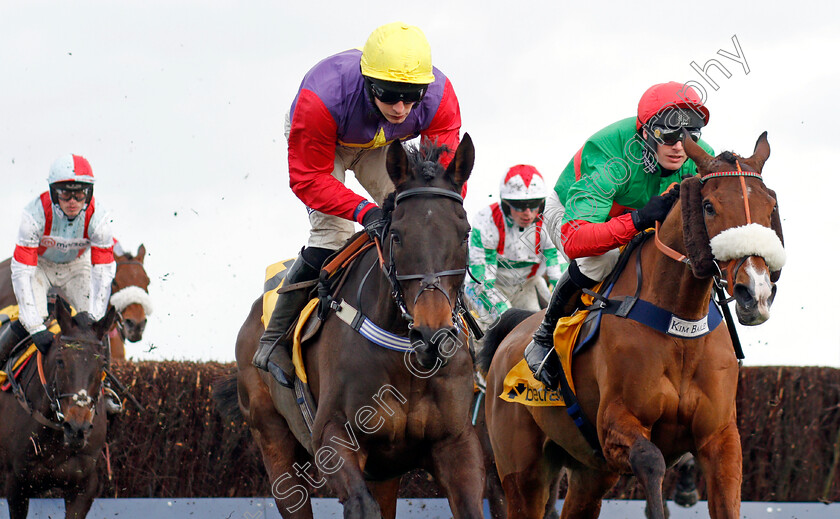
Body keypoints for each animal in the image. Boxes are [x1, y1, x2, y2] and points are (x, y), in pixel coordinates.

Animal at [213, 138, 482, 519]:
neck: (405, 361)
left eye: (464, 234)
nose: (432, 337)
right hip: (272, 438)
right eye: (396, 235)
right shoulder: (333, 436)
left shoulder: (455, 440)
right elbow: (360, 504)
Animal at [480, 134, 788, 519]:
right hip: (523, 471)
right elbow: (650, 460)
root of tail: (513, 331)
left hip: (589, 473)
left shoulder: (720, 437)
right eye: (708, 206)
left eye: (770, 205)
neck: (679, 326)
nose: (756, 292)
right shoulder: (614, 425)